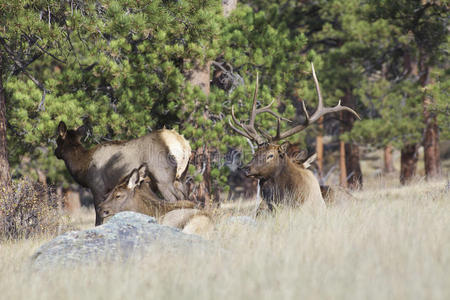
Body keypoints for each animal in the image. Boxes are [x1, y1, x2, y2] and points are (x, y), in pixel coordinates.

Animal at [55, 122, 192, 225]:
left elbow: (99, 218)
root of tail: (183, 145)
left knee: (175, 200)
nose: (55, 152)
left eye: (57, 141)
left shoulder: (97, 187)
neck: (83, 167)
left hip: (163, 179)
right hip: (181, 178)